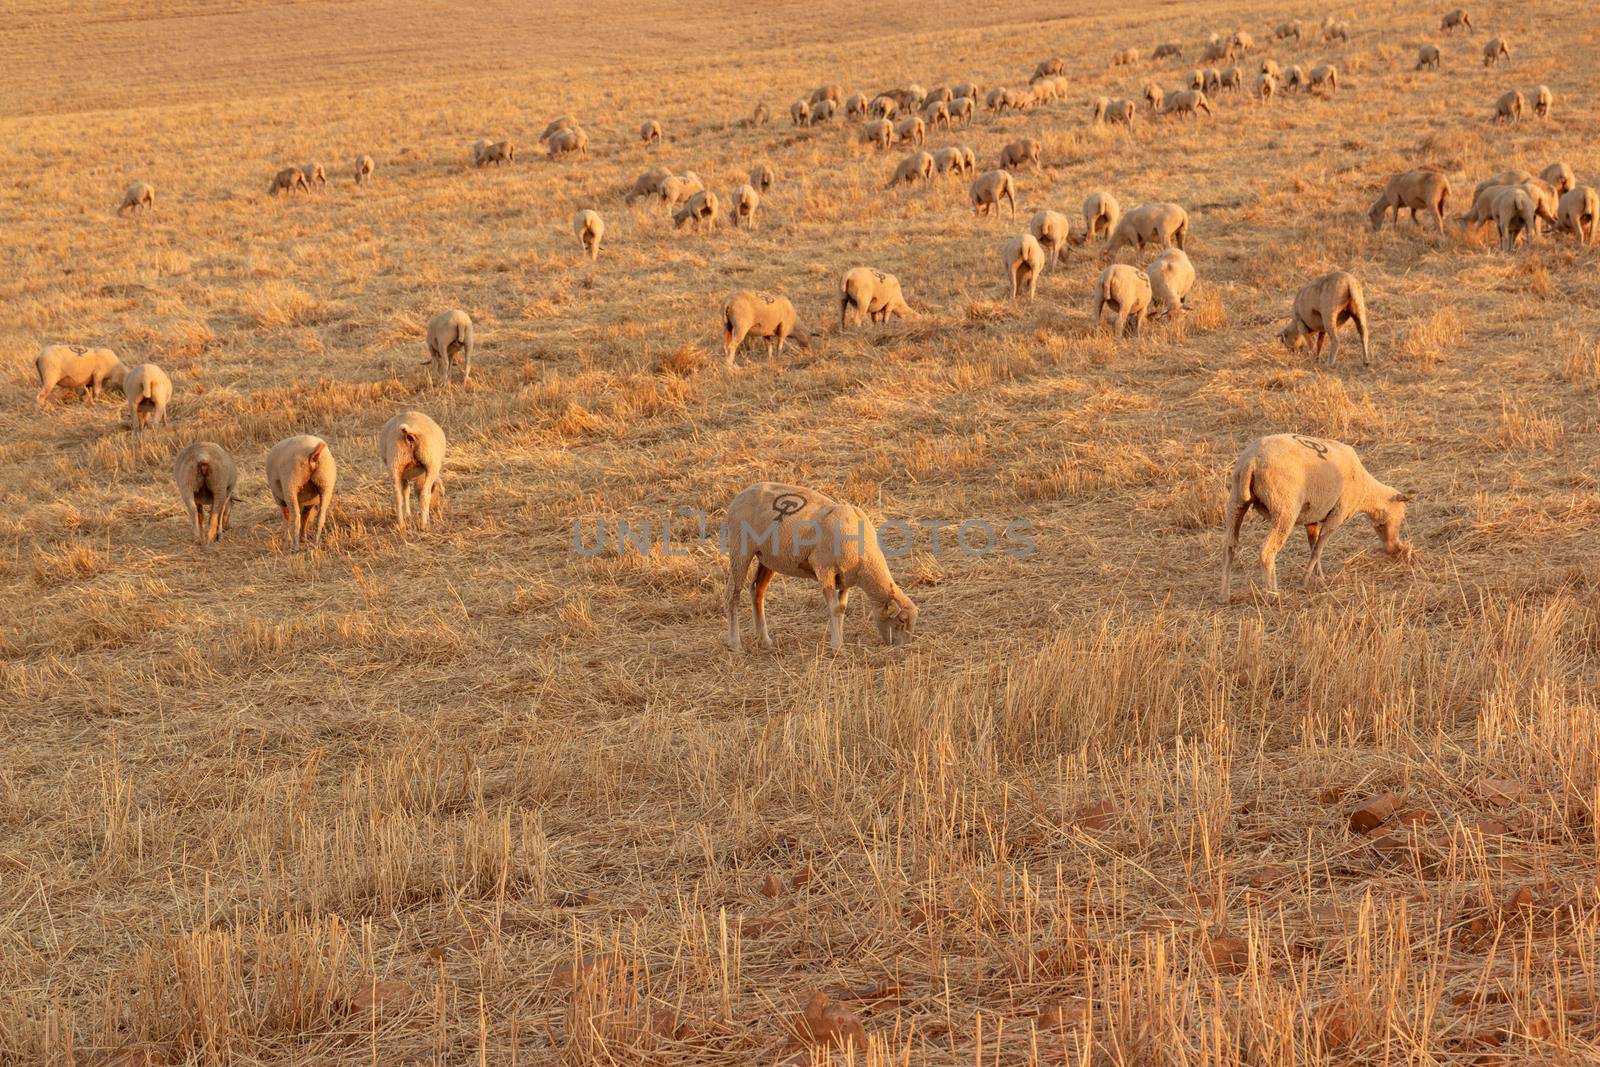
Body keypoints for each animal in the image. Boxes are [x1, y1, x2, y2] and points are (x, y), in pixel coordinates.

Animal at [723, 483, 921, 652]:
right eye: (901, 620)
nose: (903, 647)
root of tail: (740, 495)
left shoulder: (845, 578)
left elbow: (842, 608)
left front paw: (839, 641)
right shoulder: (824, 568)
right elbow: (834, 608)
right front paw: (837, 646)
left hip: (767, 558)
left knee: (757, 591)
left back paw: (764, 640)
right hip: (740, 550)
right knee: (733, 595)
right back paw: (736, 645)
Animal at [1216, 435, 1408, 601]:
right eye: (1402, 516)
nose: (1396, 549)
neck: (1366, 491)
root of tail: (1251, 460)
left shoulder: (1312, 519)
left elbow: (1313, 546)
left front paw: (1319, 576)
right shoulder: (1336, 516)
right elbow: (1318, 549)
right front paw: (1305, 581)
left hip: (1236, 501)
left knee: (1229, 546)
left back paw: (1224, 595)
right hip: (1284, 509)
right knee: (1267, 551)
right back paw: (1273, 595)